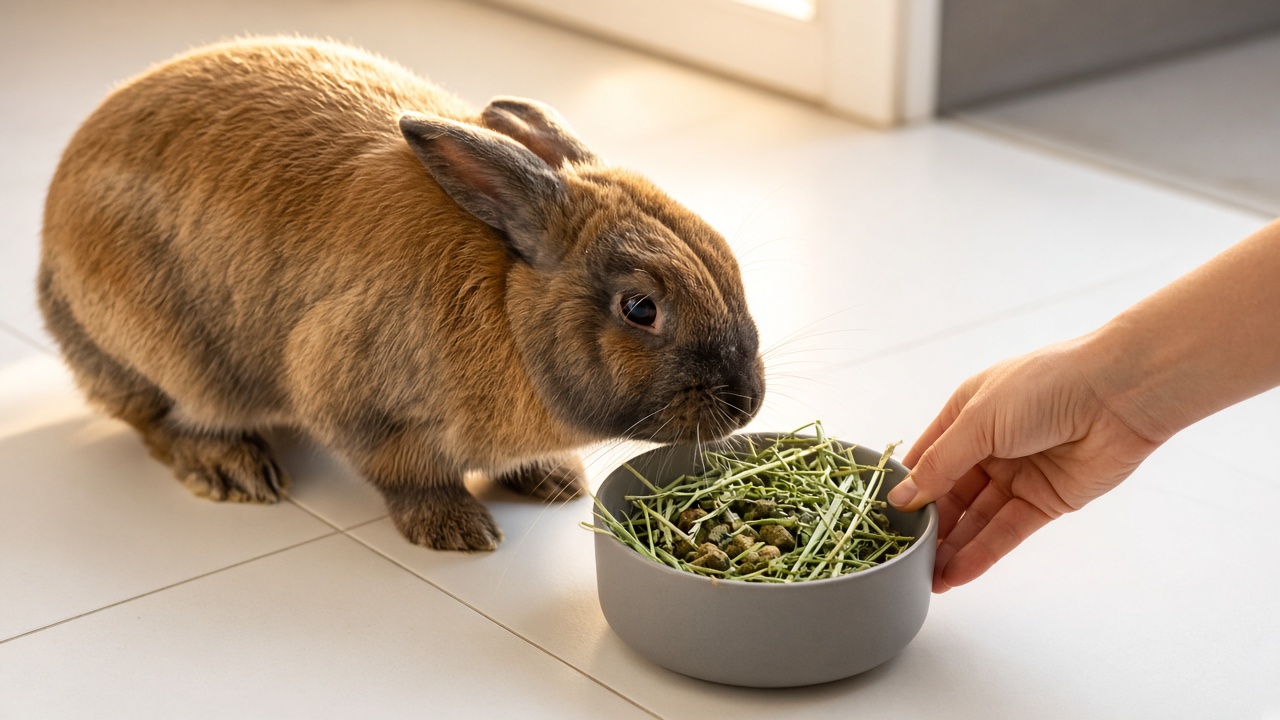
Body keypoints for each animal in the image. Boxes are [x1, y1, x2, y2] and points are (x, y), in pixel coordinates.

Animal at [38, 36, 765, 551]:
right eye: (640, 309)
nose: (748, 403)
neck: (509, 307)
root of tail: (48, 263)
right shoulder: (357, 397)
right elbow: (408, 475)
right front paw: (457, 531)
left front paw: (555, 480)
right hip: (175, 358)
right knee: (160, 419)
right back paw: (232, 469)